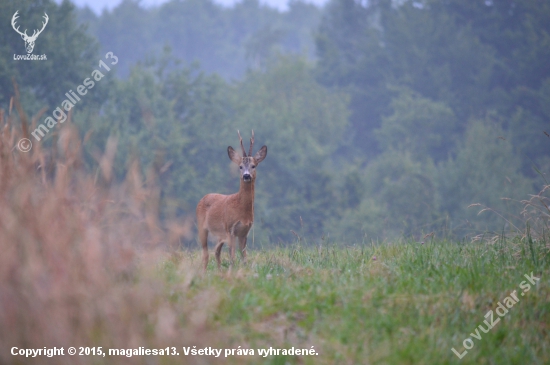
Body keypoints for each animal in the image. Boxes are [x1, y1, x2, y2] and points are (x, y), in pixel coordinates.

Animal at [197, 131, 268, 270]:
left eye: (253, 165)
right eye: (240, 166)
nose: (246, 175)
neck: (241, 208)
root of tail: (203, 198)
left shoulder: (244, 232)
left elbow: (244, 258)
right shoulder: (230, 228)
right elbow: (232, 257)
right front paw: (232, 270)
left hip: (220, 234)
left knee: (216, 251)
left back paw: (219, 271)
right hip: (201, 226)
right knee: (206, 253)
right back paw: (203, 272)